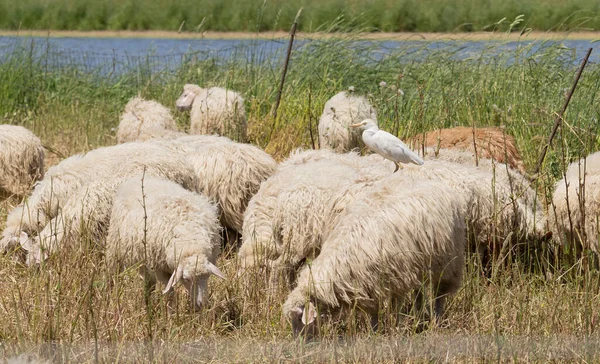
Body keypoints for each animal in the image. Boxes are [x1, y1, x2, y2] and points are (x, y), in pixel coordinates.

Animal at [105, 176, 225, 310]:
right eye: (186, 279)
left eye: (207, 276)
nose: (202, 304)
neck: (190, 242)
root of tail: (135, 179)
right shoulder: (160, 269)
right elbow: (170, 293)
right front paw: (170, 312)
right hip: (115, 248)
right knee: (112, 275)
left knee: (149, 283)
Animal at [284, 178, 466, 336]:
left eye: (299, 319)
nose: (300, 342)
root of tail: (437, 183)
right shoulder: (374, 283)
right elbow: (375, 311)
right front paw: (379, 331)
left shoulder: (383, 280)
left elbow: (384, 310)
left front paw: (384, 331)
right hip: (418, 265)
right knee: (418, 292)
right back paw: (419, 320)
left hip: (448, 263)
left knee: (439, 294)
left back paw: (436, 320)